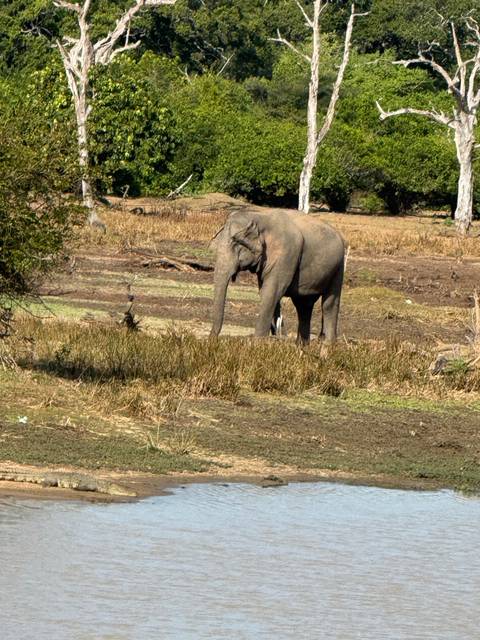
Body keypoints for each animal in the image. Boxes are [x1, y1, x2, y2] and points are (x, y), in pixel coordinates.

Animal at [210, 208, 345, 344]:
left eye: (236, 247)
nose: (213, 341)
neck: (259, 217)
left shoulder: (286, 254)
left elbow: (271, 292)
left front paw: (257, 344)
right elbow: (265, 292)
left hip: (338, 267)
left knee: (328, 304)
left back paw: (326, 347)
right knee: (303, 306)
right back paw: (301, 346)